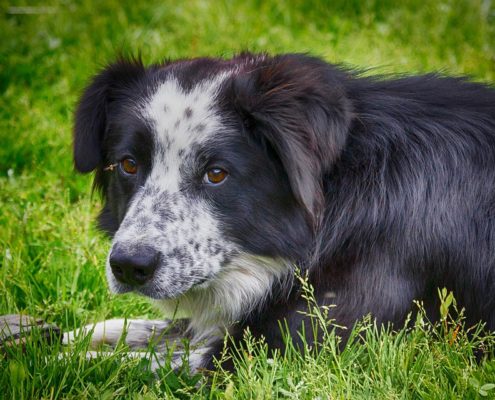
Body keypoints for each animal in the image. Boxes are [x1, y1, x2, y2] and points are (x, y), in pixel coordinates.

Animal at [70, 53, 495, 372]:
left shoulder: (287, 350)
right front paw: (60, 335)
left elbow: (116, 364)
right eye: (128, 164)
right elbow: (143, 328)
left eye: (216, 173)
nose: (129, 266)